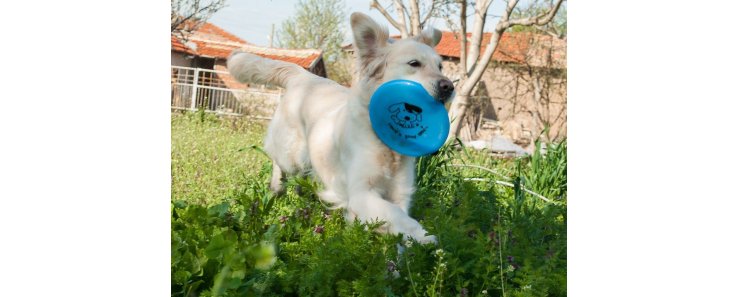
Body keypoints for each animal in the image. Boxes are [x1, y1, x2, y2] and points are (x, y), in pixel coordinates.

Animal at [228, 11, 454, 243]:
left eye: (440, 66)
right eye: (414, 63)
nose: (449, 87)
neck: (385, 143)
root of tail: (302, 75)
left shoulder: (400, 192)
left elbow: (397, 218)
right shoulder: (361, 192)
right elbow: (396, 214)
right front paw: (424, 236)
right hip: (291, 155)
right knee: (279, 164)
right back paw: (276, 189)